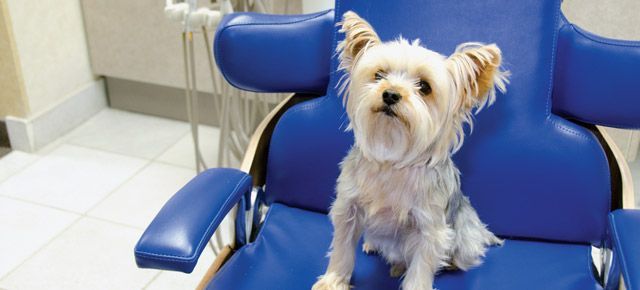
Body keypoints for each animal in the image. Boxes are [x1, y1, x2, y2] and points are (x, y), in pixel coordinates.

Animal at [312, 11, 508, 290]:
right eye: (379, 75)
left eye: (424, 87)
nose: (391, 94)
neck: (392, 158)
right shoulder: (348, 209)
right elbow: (342, 249)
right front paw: (334, 280)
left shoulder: (430, 230)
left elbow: (420, 269)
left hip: (465, 237)